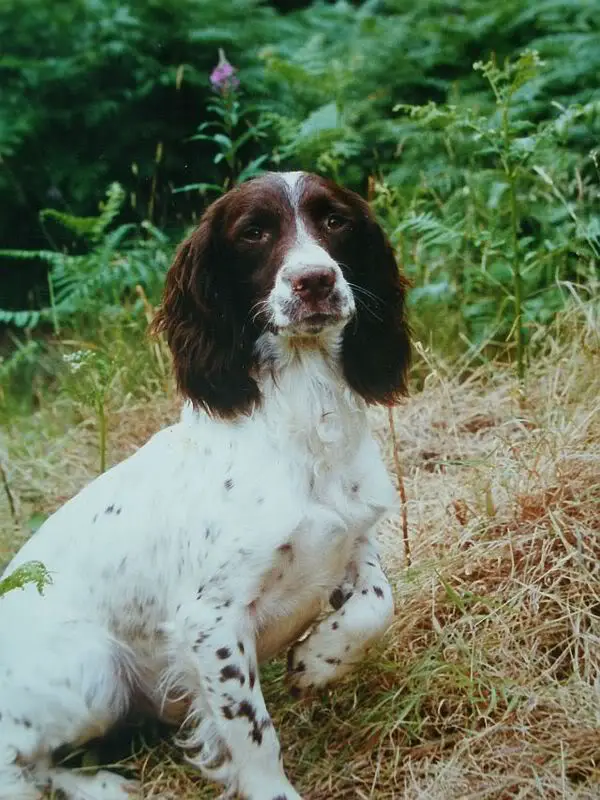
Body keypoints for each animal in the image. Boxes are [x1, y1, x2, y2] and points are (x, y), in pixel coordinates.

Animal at [0, 170, 410, 800]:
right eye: (254, 232)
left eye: (335, 220)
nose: (315, 280)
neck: (301, 421)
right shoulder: (209, 620)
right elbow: (253, 732)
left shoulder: (352, 542)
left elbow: (376, 606)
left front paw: (317, 661)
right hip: (94, 669)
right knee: (15, 757)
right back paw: (99, 786)